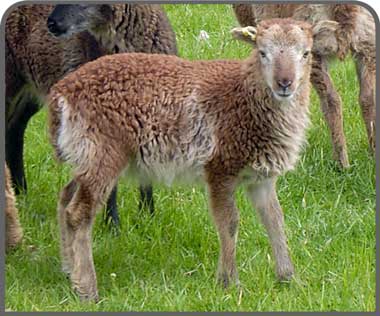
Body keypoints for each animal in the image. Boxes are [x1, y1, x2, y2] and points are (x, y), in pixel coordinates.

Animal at [46, 17, 336, 302]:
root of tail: (61, 94)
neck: (245, 95)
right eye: (262, 52)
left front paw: (289, 279)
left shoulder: (261, 178)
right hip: (103, 152)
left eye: (306, 53)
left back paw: (68, 269)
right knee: (79, 213)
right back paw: (87, 289)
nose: (284, 83)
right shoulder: (220, 168)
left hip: (85, 153)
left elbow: (275, 220)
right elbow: (229, 223)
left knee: (65, 198)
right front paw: (229, 282)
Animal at [233, 3, 376, 169]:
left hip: (313, 47)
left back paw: (342, 163)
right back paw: (372, 153)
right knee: (367, 98)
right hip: (367, 41)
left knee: (332, 100)